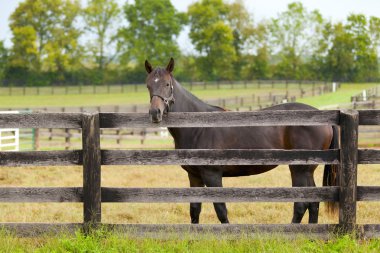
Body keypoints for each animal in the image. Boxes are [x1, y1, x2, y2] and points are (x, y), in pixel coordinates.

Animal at [145, 57, 338, 223]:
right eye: (148, 86)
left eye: (167, 84)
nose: (155, 113)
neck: (199, 127)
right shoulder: (194, 176)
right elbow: (194, 210)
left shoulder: (212, 175)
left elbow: (221, 210)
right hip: (308, 171)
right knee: (313, 203)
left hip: (299, 170)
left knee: (301, 204)